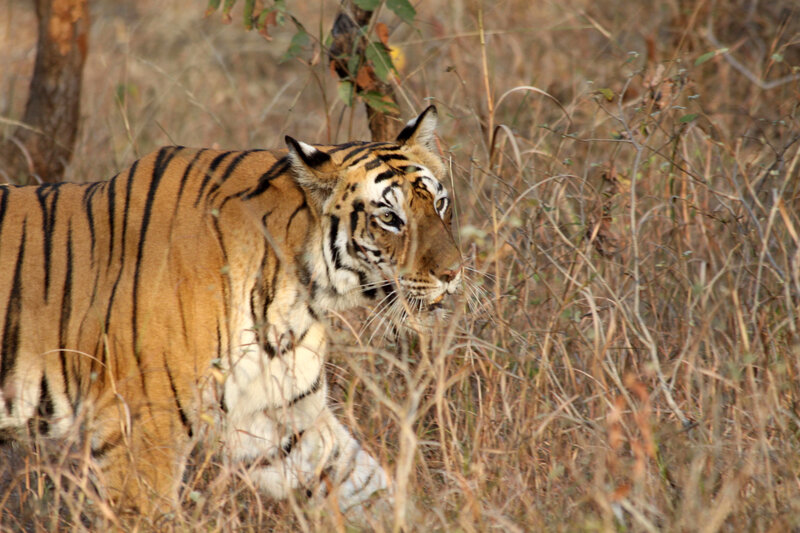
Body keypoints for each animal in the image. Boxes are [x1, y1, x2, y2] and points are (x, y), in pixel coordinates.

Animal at [0, 105, 462, 516]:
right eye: (389, 218)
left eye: (439, 204)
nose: (454, 273)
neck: (296, 294)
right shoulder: (139, 430)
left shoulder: (281, 422)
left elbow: (365, 487)